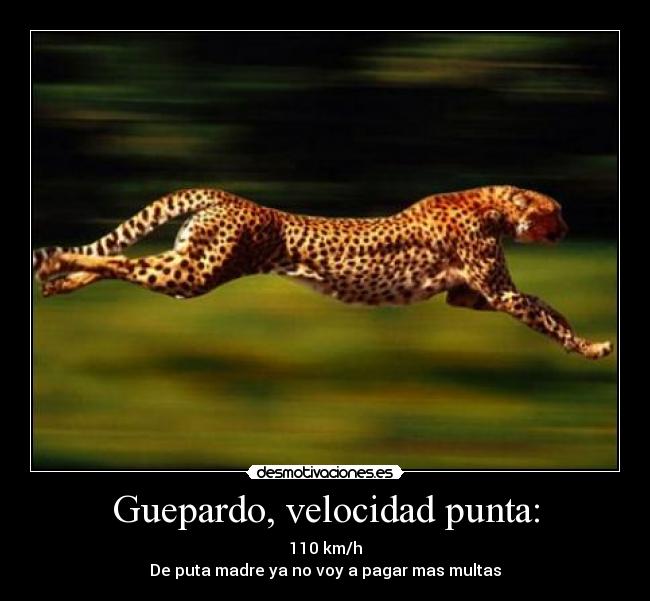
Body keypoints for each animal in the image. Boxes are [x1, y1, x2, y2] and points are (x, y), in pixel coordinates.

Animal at [32, 185, 613, 360]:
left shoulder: (470, 296)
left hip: (187, 267)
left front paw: (586, 342)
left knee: (122, 264)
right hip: (197, 274)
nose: (567, 227)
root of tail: (227, 195)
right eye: (556, 210)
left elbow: (545, 304)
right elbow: (545, 313)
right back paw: (57, 263)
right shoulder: (498, 293)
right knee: (120, 261)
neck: (492, 206)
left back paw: (61, 280)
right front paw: (590, 347)